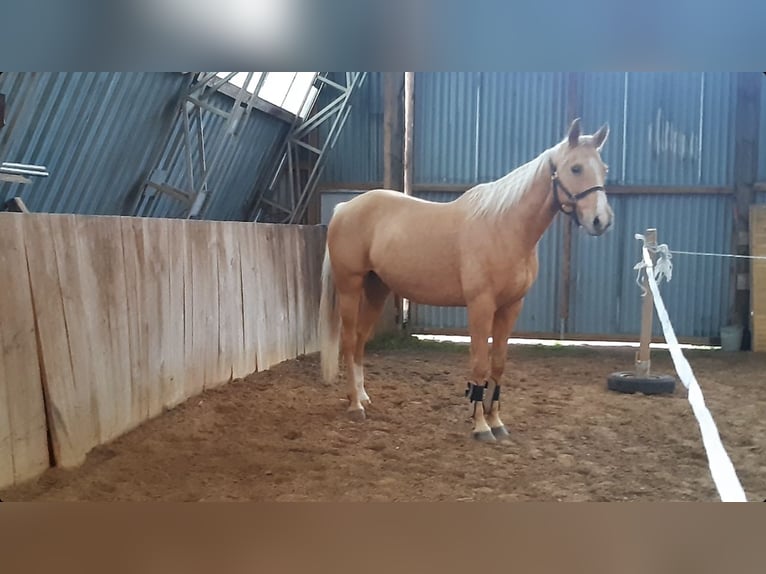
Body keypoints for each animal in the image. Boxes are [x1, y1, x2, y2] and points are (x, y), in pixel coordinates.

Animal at [320, 116, 616, 440]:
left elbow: (498, 364)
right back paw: (354, 405)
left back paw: (362, 397)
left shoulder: (511, 307)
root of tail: (344, 208)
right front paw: (481, 426)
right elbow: (479, 364)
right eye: (575, 168)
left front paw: (496, 421)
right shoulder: (481, 306)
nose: (601, 221)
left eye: (604, 168)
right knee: (349, 341)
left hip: (377, 289)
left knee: (361, 339)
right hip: (350, 287)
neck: (505, 227)